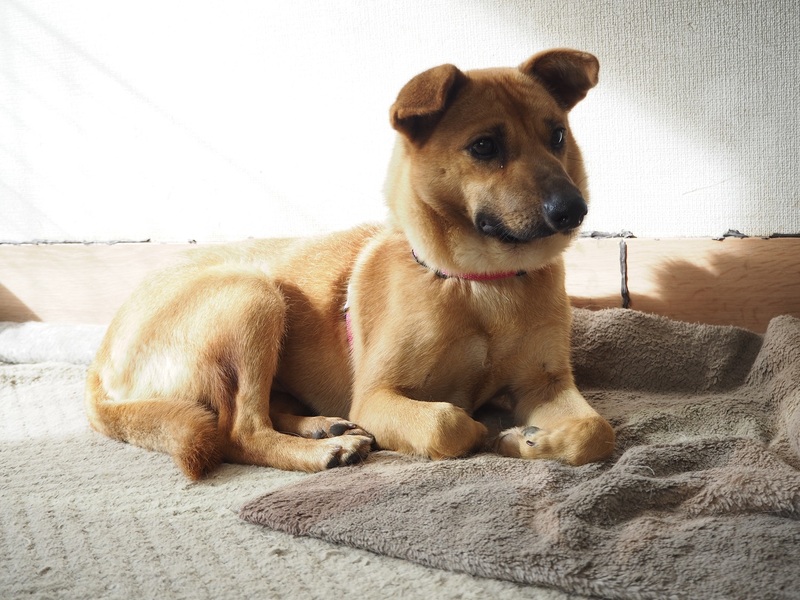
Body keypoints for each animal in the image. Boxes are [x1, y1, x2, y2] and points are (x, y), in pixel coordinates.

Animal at [85, 48, 615, 479]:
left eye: (557, 135)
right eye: (484, 146)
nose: (573, 210)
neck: (479, 284)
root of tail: (101, 359)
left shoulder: (545, 384)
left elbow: (596, 431)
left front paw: (533, 440)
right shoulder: (377, 397)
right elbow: (449, 423)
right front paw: (490, 428)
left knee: (263, 410)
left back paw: (323, 427)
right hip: (253, 297)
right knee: (239, 430)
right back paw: (323, 450)